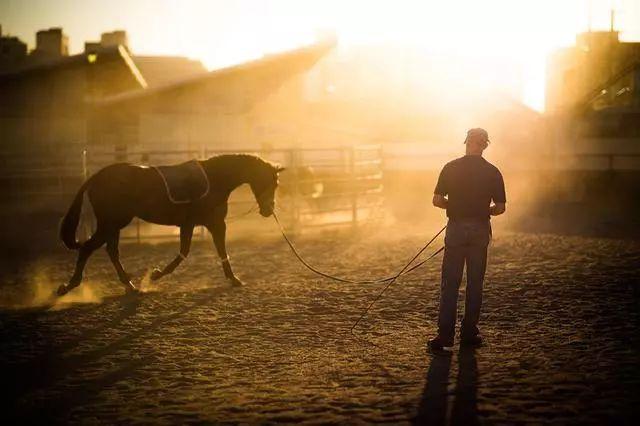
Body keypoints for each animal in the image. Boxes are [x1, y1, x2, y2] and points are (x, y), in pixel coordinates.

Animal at [57, 153, 282, 296]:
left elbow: (209, 251)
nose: (268, 210)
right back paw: (68, 286)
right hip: (111, 223)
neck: (215, 178)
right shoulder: (209, 223)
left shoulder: (203, 224)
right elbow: (191, 252)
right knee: (88, 248)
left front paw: (233, 279)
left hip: (114, 224)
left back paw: (130, 286)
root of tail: (96, 177)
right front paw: (155, 275)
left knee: (111, 251)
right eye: (271, 182)